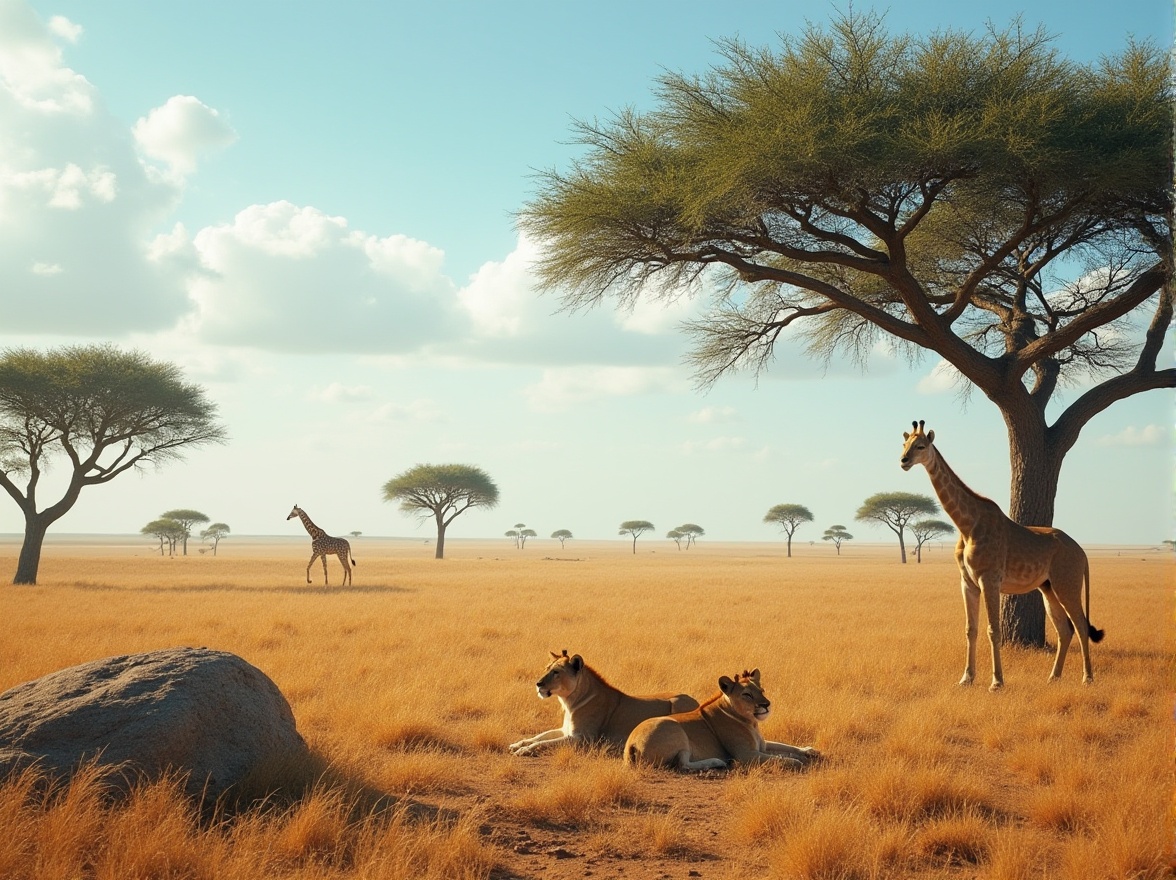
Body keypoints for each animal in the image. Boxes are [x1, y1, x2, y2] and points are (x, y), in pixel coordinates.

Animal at [508, 644, 696, 757]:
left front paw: (523, 750)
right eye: (546, 668)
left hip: (678, 702)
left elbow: (545, 742)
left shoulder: (583, 738)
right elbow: (540, 736)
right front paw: (517, 744)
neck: (569, 702)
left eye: (556, 672)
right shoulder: (565, 730)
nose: (538, 684)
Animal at [625, 672, 818, 771]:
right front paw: (797, 761)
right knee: (682, 764)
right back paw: (717, 762)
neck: (751, 722)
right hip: (672, 727)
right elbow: (779, 758)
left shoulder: (762, 746)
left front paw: (809, 750)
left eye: (761, 690)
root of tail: (631, 744)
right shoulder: (745, 754)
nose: (766, 705)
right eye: (747, 694)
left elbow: (785, 746)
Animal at [898, 418, 1100, 687]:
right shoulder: (967, 582)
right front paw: (966, 678)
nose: (903, 461)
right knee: (1064, 629)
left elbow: (993, 630)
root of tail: (1082, 553)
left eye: (920, 446)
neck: (967, 525)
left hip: (1067, 583)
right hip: (1048, 587)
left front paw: (996, 682)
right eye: (904, 444)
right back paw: (1053, 677)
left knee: (1080, 625)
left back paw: (1087, 678)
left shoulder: (989, 579)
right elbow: (970, 630)